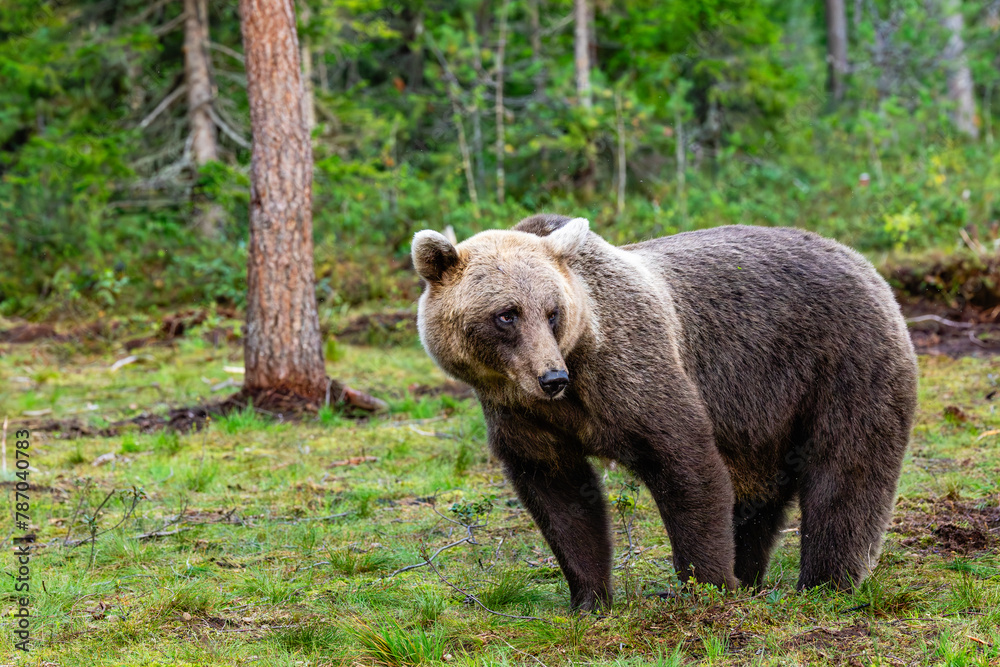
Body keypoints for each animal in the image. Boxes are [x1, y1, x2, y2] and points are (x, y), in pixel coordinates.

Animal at [412, 215, 918, 611]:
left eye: (552, 312)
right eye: (506, 314)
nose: (552, 377)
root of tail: (861, 262)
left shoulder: (630, 372)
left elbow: (684, 460)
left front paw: (708, 585)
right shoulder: (522, 417)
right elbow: (559, 497)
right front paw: (589, 599)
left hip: (842, 363)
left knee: (846, 473)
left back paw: (825, 583)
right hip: (764, 414)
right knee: (758, 493)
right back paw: (754, 574)